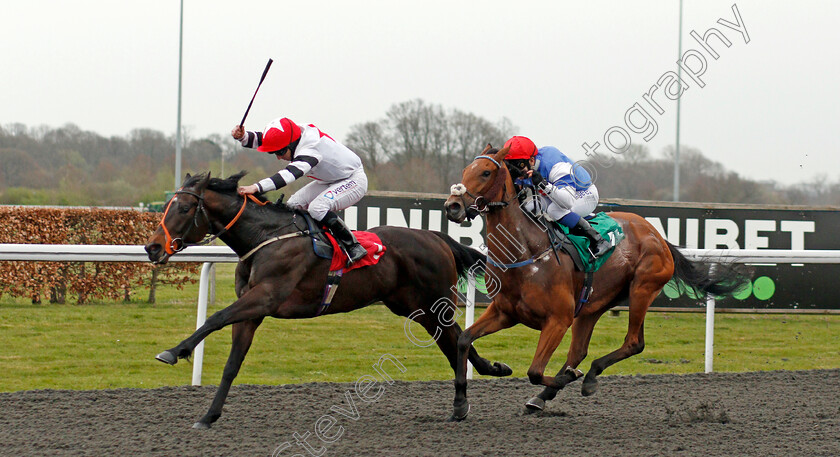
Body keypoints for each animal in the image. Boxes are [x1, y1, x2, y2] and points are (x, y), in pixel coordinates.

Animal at [143, 171, 512, 428]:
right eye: (167, 206)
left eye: (185, 207)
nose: (152, 247)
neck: (265, 238)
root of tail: (436, 237)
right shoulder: (252, 311)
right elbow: (232, 364)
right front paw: (209, 415)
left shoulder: (265, 297)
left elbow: (215, 318)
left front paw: (174, 351)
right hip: (415, 308)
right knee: (453, 342)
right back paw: (485, 377)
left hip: (435, 303)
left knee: (455, 340)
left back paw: (465, 398)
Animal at [442, 146, 744, 420]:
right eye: (465, 170)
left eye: (485, 172)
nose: (452, 206)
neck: (527, 253)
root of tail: (657, 235)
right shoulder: (504, 312)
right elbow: (464, 339)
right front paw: (463, 400)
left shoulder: (558, 319)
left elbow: (535, 371)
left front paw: (568, 378)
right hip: (592, 306)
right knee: (579, 351)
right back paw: (544, 396)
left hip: (642, 289)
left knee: (633, 343)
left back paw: (586, 378)